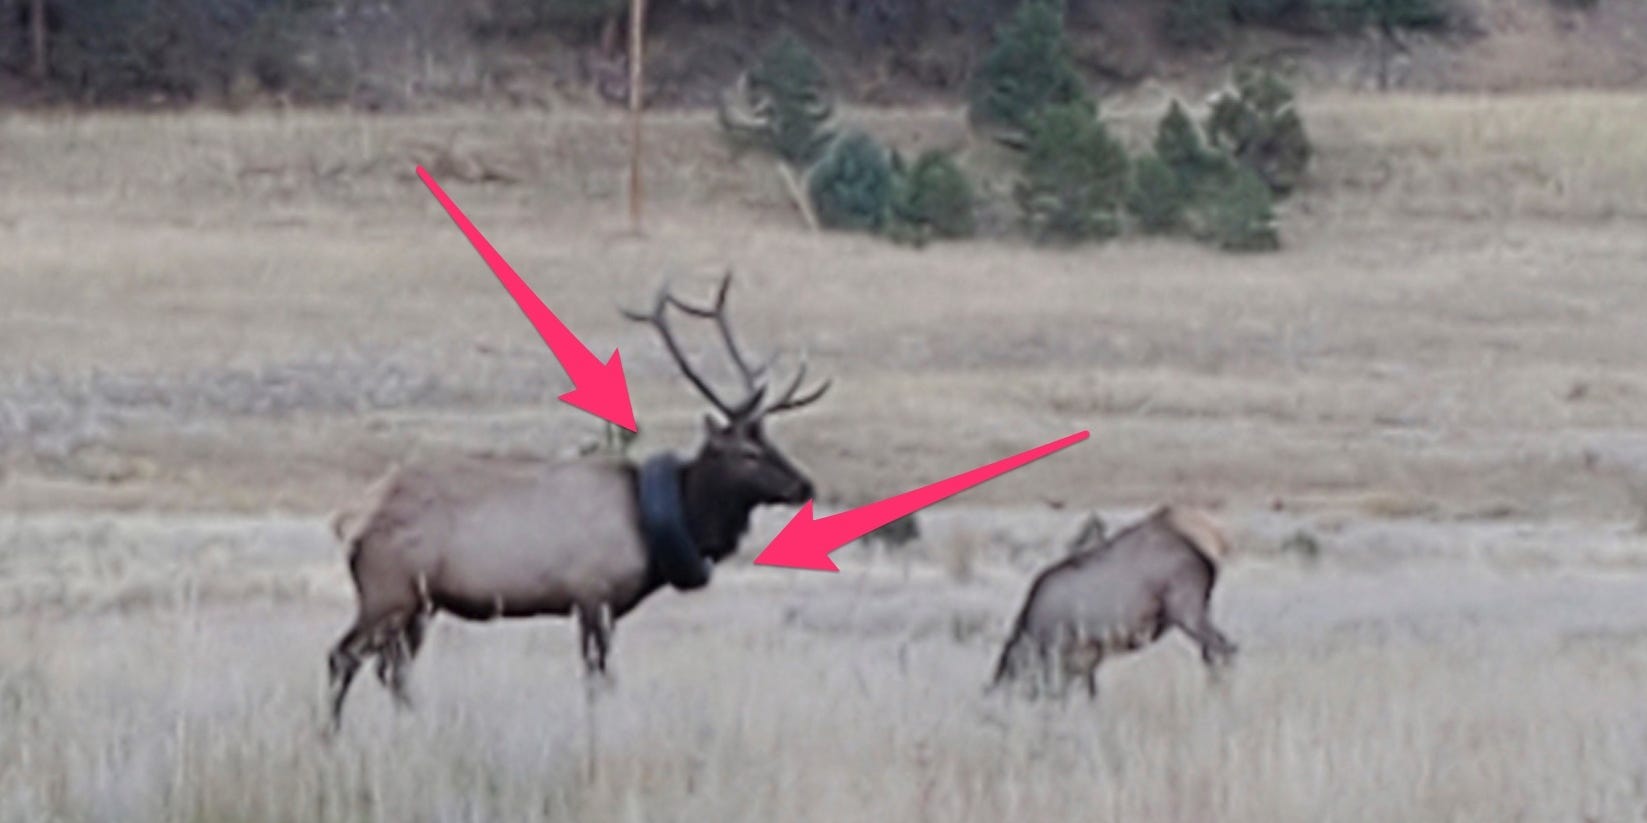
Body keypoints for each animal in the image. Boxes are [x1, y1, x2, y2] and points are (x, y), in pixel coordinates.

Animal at [322, 273, 830, 730]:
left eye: (771, 440)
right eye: (747, 453)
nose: (804, 485)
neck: (652, 530)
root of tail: (349, 521)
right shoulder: (592, 593)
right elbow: (598, 680)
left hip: (417, 605)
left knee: (392, 671)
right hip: (388, 591)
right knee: (342, 658)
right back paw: (331, 738)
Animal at [988, 500, 1238, 701]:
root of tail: (1205, 555)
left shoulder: (1065, 657)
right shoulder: (1085, 661)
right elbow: (1090, 695)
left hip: (1186, 611)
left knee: (1224, 649)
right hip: (1200, 609)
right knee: (1215, 652)